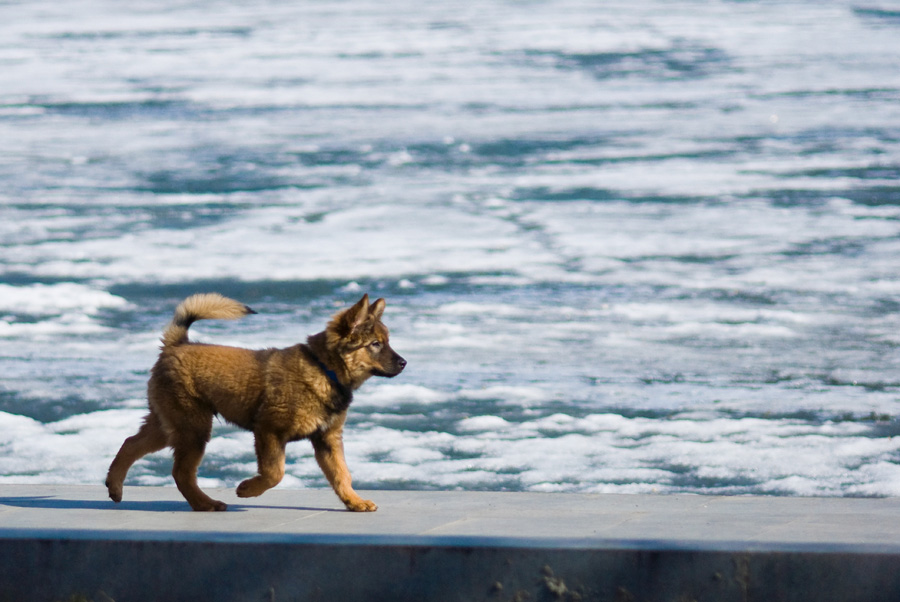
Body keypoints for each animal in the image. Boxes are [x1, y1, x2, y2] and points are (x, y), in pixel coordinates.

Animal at [103, 292, 408, 508]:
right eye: (375, 344)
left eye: (386, 341)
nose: (404, 363)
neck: (324, 368)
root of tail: (176, 344)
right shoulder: (269, 429)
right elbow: (275, 472)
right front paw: (248, 489)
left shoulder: (327, 439)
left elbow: (341, 474)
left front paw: (355, 502)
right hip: (193, 425)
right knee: (181, 472)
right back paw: (206, 504)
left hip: (169, 422)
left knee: (131, 444)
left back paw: (115, 487)